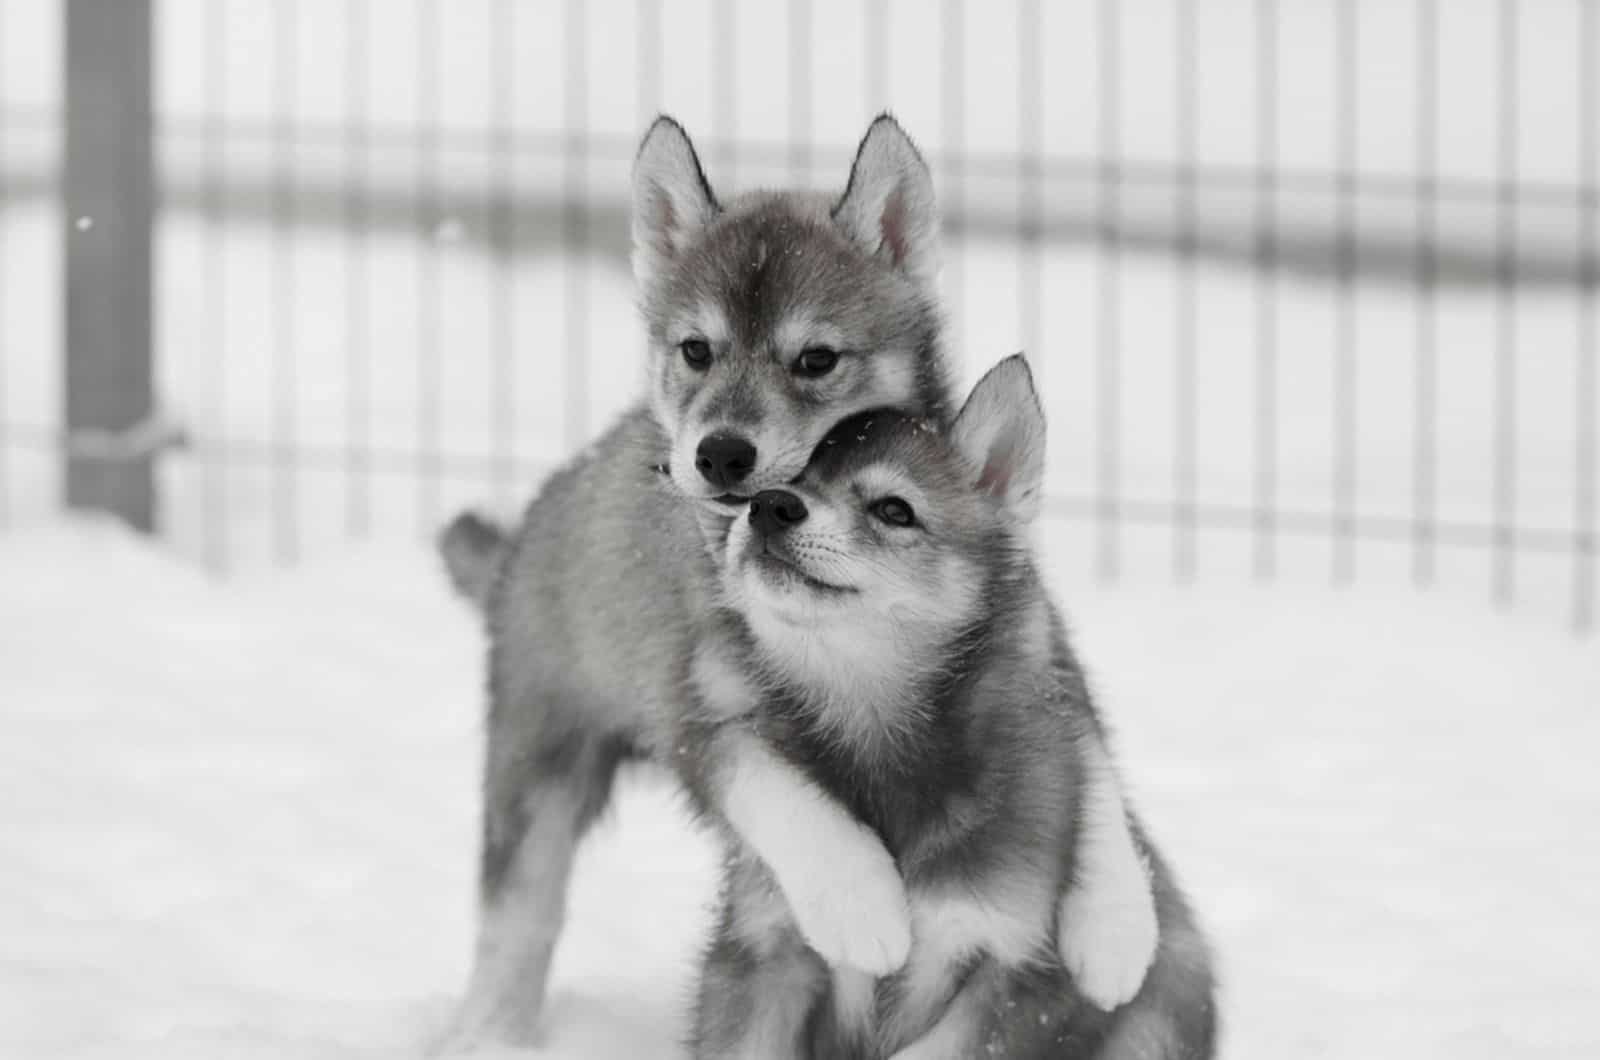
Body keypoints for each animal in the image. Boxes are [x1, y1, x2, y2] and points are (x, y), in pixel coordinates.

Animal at [438, 118, 1164, 1056]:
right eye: (696, 350)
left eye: (816, 359)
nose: (719, 454)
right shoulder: (700, 709)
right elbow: (784, 796)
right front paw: (862, 907)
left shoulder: (1037, 641)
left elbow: (1091, 754)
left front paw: (1117, 924)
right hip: (539, 758)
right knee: (519, 911)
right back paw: (484, 1030)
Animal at [681, 358, 1216, 1060]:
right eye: (779, 485)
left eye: (894, 509)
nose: (770, 507)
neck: (877, 727)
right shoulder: (765, 953)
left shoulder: (1013, 972)